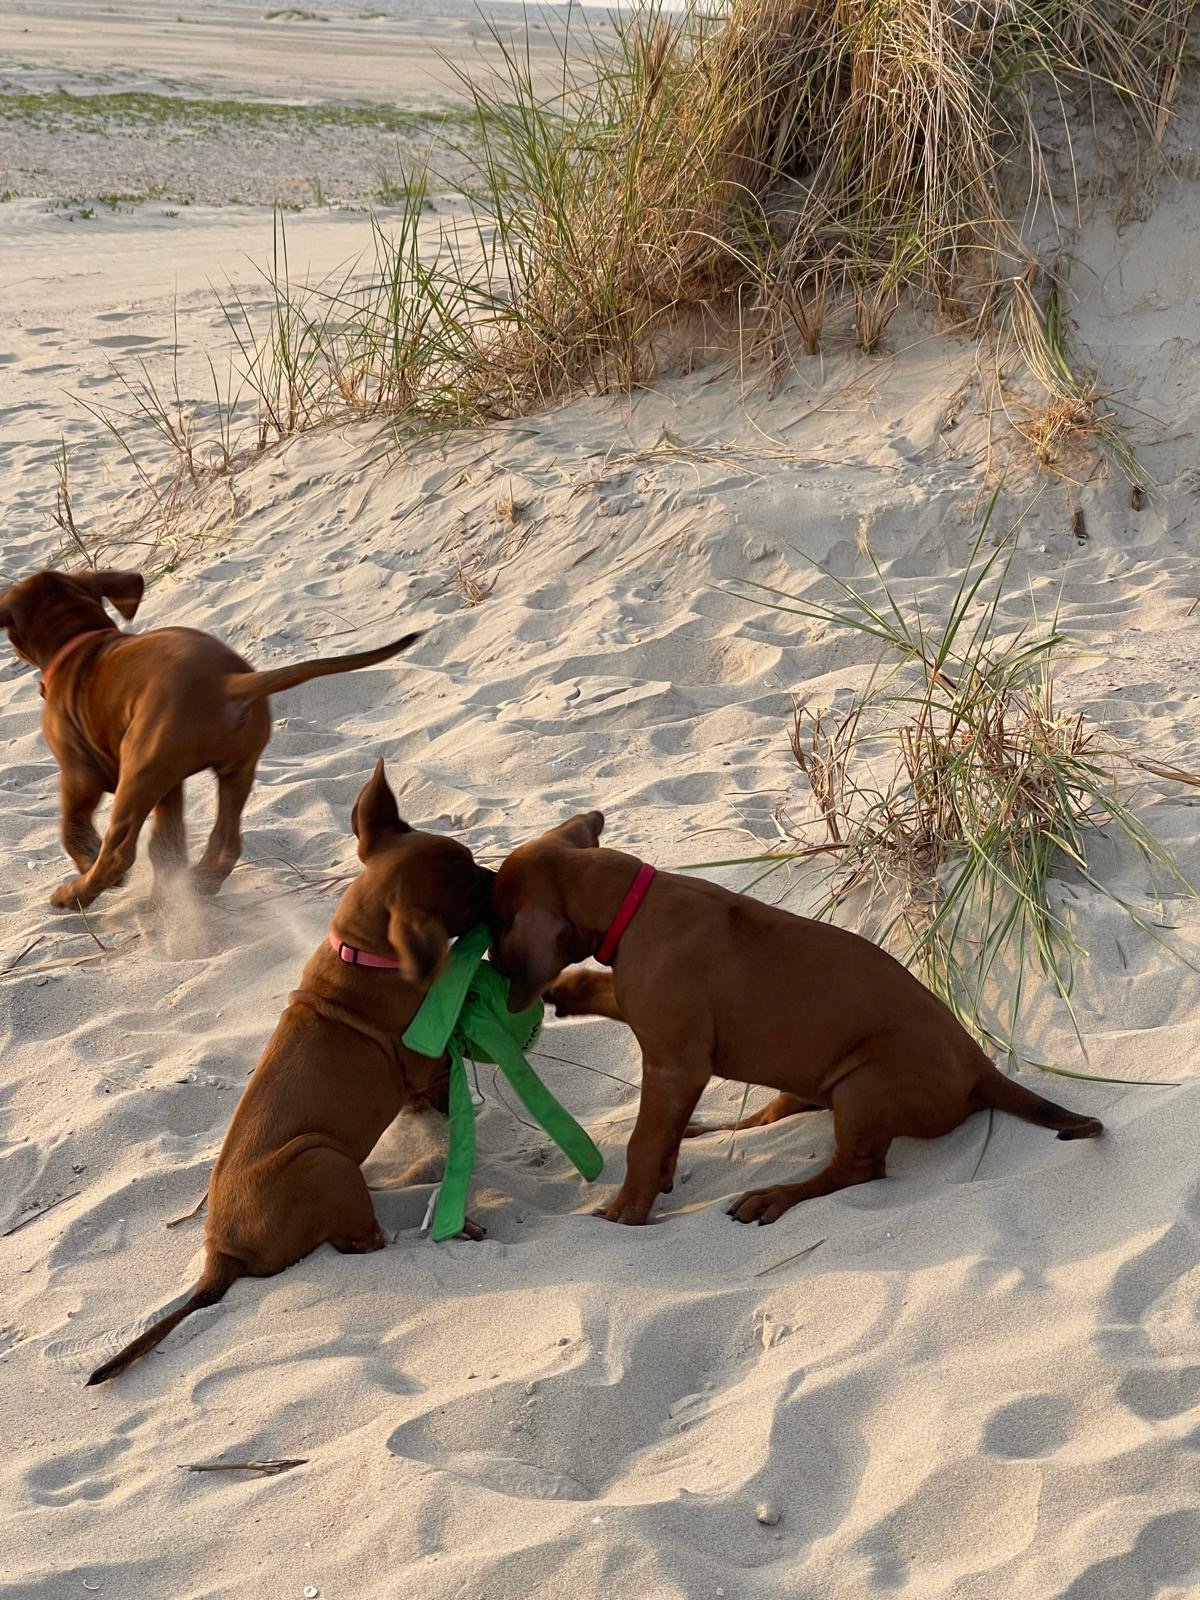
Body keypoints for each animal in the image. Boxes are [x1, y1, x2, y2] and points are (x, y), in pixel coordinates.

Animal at [0, 567, 421, 909]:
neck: (82, 642)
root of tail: (227, 682)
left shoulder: (79, 773)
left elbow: (71, 829)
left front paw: (89, 862)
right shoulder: (168, 785)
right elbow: (166, 843)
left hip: (139, 774)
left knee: (120, 851)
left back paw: (75, 895)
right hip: (230, 769)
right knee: (226, 843)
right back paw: (193, 887)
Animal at [86, 761, 492, 1384]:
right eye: (467, 886)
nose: (497, 881)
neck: (365, 951)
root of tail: (219, 1256)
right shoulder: (428, 1062)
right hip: (323, 1159)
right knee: (364, 1244)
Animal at [489, 813, 1102, 1228]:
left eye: (496, 923)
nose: (492, 962)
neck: (630, 902)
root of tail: (980, 1067)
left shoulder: (674, 1062)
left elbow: (643, 1142)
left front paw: (625, 1210)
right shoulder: (652, 1019)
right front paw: (567, 989)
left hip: (865, 1085)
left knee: (856, 1171)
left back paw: (775, 1195)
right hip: (814, 1078)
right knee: (769, 1117)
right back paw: (710, 1130)